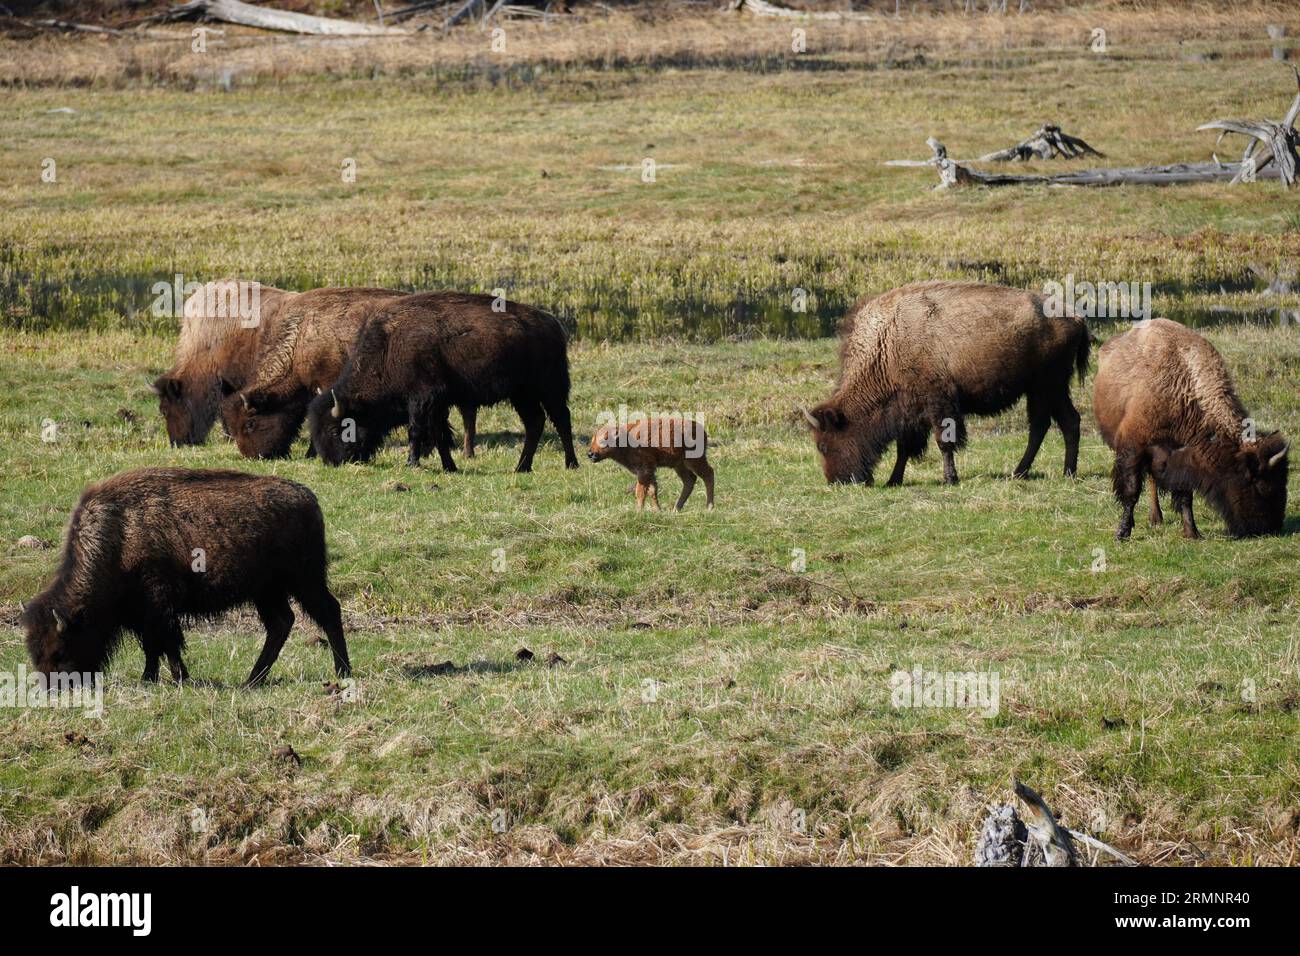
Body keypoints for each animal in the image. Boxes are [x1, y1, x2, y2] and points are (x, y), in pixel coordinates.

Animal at [20, 465, 351, 686]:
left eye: (60, 650)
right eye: (34, 651)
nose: (52, 688)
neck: (119, 536)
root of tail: (307, 497)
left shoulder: (158, 604)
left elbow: (165, 641)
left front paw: (176, 677)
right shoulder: (142, 614)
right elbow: (152, 645)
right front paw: (150, 678)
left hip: (304, 580)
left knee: (328, 612)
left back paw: (343, 672)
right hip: (267, 591)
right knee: (281, 623)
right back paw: (252, 680)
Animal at [306, 291, 577, 470]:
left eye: (335, 429)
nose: (332, 462)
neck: (389, 347)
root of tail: (552, 323)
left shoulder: (423, 398)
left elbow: (416, 430)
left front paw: (412, 463)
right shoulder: (436, 404)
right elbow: (438, 434)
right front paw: (449, 466)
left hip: (550, 388)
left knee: (561, 420)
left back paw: (571, 463)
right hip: (521, 394)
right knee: (535, 422)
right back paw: (521, 467)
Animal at [800, 278, 1086, 486]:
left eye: (823, 445)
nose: (836, 481)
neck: (887, 344)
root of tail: (1075, 317)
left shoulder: (938, 403)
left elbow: (944, 442)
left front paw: (950, 478)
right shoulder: (909, 410)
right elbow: (904, 447)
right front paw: (894, 480)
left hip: (1046, 385)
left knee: (1045, 424)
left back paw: (1033, 472)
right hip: (1049, 388)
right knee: (1063, 422)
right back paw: (1058, 472)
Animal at [1097, 321, 1289, 541]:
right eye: (1262, 487)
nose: (1272, 528)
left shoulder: (1183, 457)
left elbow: (1185, 496)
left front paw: (1192, 532)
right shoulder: (1134, 448)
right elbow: (1131, 491)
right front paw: (1122, 533)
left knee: (1153, 481)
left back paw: (1157, 518)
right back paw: (1154, 518)